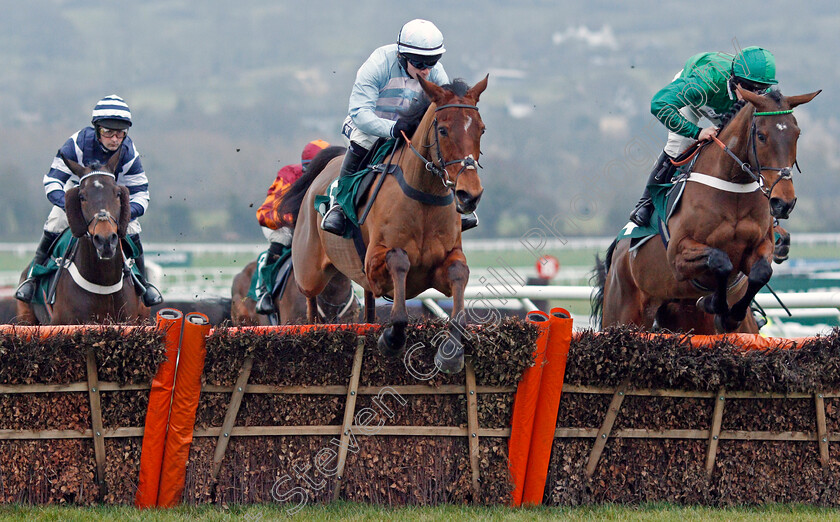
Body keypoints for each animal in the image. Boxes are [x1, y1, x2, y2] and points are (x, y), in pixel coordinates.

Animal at [282, 75, 488, 372]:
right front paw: (392, 339)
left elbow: (459, 275)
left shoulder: (442, 264)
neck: (423, 197)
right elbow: (399, 263)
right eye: (443, 130)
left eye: (481, 130)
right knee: (310, 303)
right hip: (309, 272)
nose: (469, 194)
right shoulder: (375, 264)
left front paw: (451, 353)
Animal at [592, 87, 820, 332]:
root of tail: (618, 251)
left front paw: (729, 314)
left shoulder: (760, 246)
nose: (783, 202)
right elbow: (720, 261)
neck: (733, 189)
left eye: (797, 134)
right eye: (761, 136)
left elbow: (761, 273)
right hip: (621, 314)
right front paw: (713, 303)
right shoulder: (678, 255)